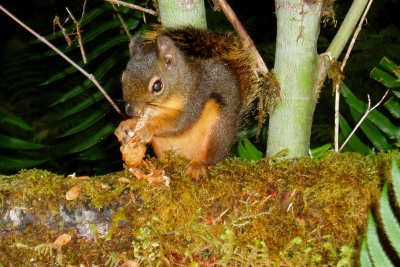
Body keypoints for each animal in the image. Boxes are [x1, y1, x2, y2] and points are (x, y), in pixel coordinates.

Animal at [114, 26, 260, 180]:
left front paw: (148, 127)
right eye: (122, 79)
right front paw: (125, 125)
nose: (131, 111)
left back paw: (197, 165)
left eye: (157, 86)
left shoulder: (196, 96)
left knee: (211, 160)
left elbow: (181, 123)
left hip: (217, 131)